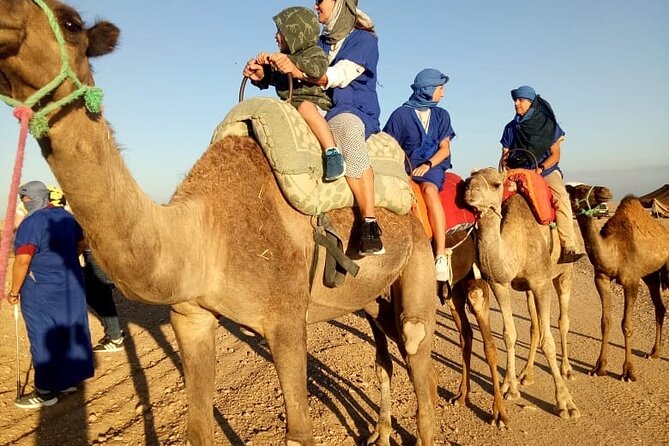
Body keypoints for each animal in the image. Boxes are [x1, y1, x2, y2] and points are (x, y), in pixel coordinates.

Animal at [0, 1, 438, 444]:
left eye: (72, 23)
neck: (204, 231)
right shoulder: (189, 317)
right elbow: (198, 427)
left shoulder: (285, 320)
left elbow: (299, 431)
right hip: (372, 296)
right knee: (383, 354)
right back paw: (380, 432)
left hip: (417, 258)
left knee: (416, 347)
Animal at [460, 169, 580, 420]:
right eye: (467, 180)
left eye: (496, 184)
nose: (470, 189)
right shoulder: (500, 284)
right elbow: (509, 334)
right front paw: (510, 387)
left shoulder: (541, 283)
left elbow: (548, 341)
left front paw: (565, 403)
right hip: (527, 291)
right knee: (534, 327)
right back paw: (527, 373)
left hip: (564, 272)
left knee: (562, 320)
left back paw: (566, 369)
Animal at [564, 183, 668, 382]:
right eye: (581, 189)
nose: (605, 191)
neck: (614, 252)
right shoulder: (601, 278)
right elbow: (605, 322)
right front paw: (599, 367)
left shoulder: (631, 281)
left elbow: (627, 324)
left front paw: (628, 371)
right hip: (651, 275)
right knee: (660, 308)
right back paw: (654, 353)